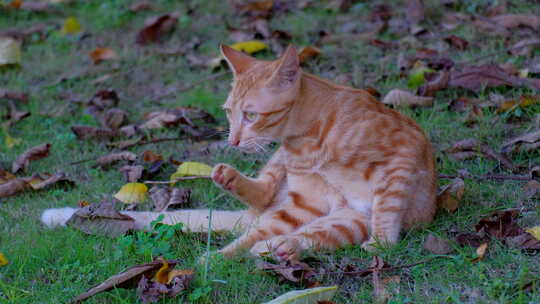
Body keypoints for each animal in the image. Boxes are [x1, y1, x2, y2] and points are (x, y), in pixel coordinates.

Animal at [43, 44, 438, 262]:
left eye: (251, 115)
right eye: (229, 113)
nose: (232, 141)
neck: (307, 139)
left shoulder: (403, 153)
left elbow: (388, 204)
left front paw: (383, 243)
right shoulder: (305, 201)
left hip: (347, 220)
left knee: (299, 235)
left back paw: (284, 248)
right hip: (290, 197)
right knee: (258, 218)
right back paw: (228, 236)